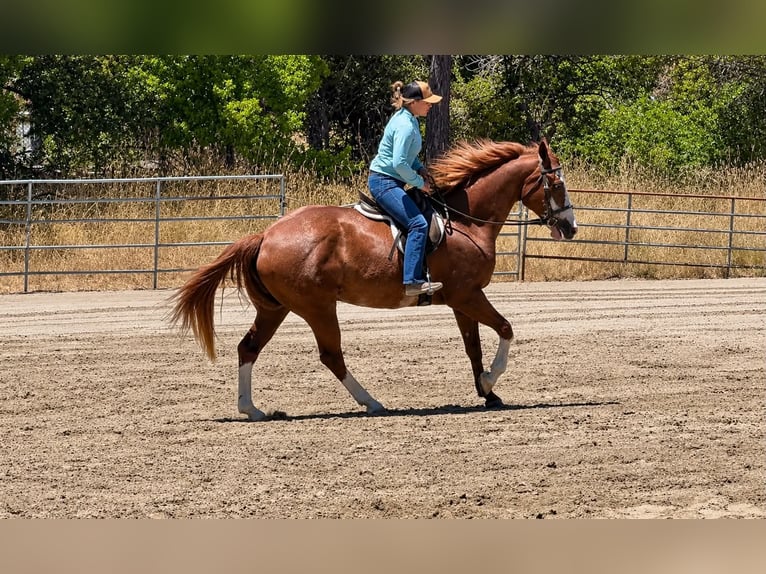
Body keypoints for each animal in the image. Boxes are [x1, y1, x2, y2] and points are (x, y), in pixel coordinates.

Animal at [169, 138, 578, 421]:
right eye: (557, 184)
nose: (571, 228)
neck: (466, 221)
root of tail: (266, 235)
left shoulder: (463, 300)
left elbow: (473, 347)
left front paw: (487, 392)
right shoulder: (468, 295)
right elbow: (506, 328)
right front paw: (491, 382)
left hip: (276, 309)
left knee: (249, 348)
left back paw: (251, 409)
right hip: (318, 308)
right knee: (331, 355)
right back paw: (371, 402)